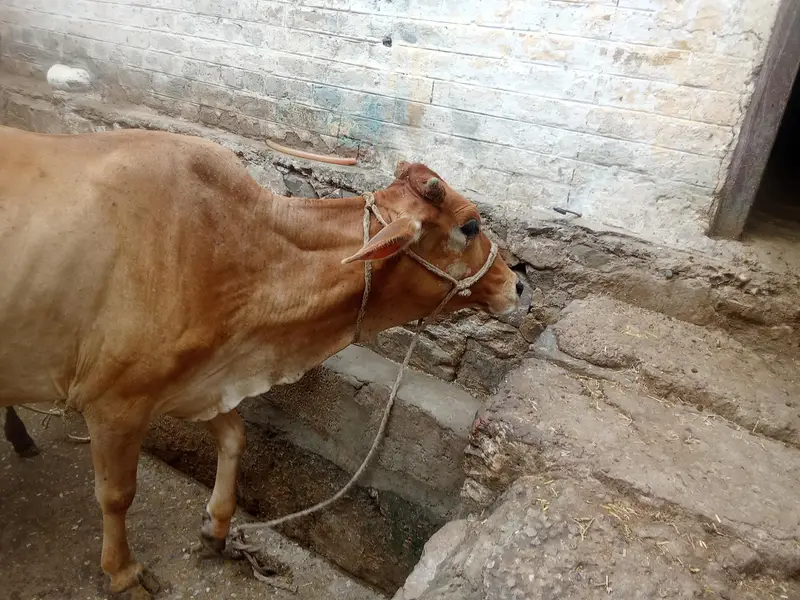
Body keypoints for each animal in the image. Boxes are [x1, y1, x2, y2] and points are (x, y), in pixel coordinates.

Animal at [0, 125, 522, 595]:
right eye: (470, 226)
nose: (519, 285)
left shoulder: (197, 381)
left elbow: (235, 437)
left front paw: (216, 530)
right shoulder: (115, 404)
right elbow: (116, 495)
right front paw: (123, 573)